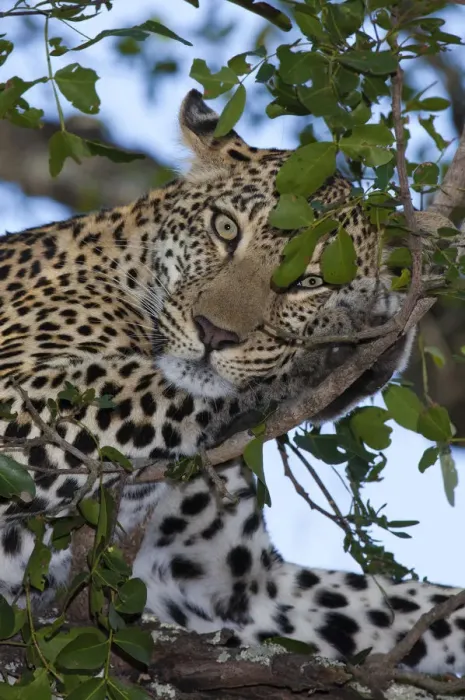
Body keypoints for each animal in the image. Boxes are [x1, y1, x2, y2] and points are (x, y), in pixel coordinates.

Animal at [0, 89, 463, 676]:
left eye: (310, 281)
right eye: (225, 229)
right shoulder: (21, 403)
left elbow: (411, 602)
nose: (214, 332)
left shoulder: (245, 587)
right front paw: (340, 345)